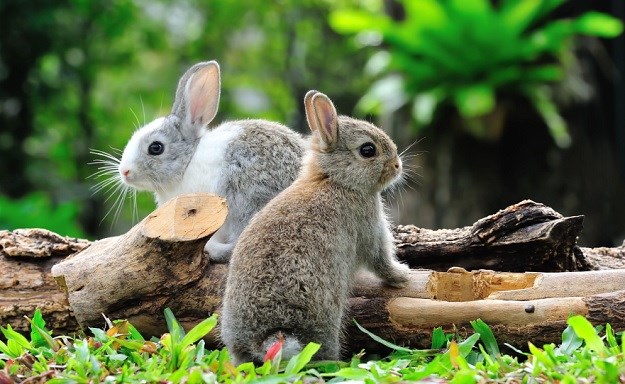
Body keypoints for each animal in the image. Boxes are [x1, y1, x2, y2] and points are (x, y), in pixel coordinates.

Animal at [219, 89, 410, 364]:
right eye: (368, 150)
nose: (397, 166)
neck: (335, 180)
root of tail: (267, 337)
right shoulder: (369, 227)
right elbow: (380, 260)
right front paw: (402, 275)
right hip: (325, 319)